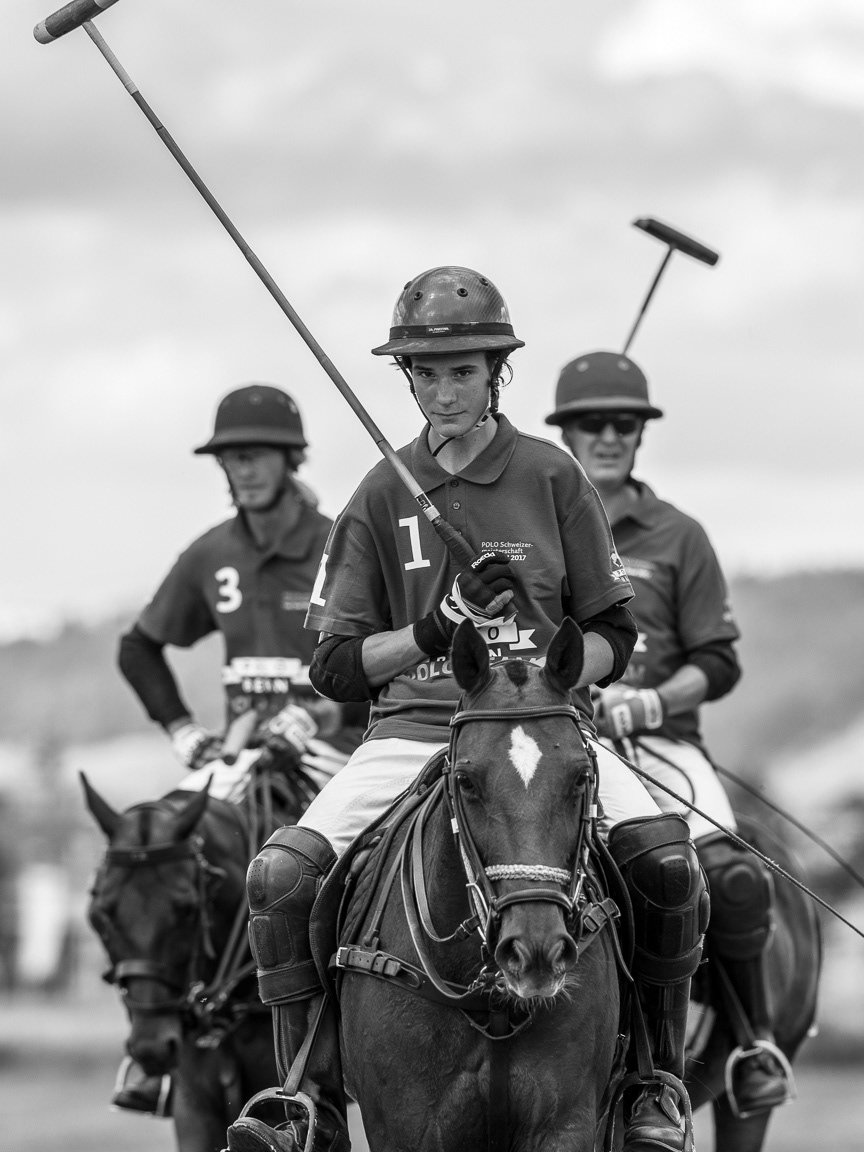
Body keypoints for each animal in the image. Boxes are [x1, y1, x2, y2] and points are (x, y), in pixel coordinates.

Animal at [333, 618, 623, 1152]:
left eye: (581, 776)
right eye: (467, 782)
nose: (535, 951)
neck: (491, 1000)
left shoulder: (566, 1122)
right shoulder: (405, 1129)